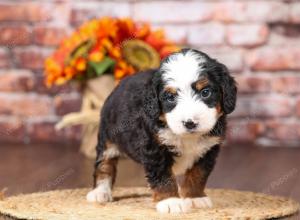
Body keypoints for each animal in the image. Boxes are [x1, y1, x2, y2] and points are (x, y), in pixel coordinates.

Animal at [86, 48, 237, 213]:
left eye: (205, 92)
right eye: (170, 97)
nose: (190, 123)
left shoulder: (208, 148)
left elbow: (198, 174)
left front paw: (195, 197)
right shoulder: (154, 147)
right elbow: (163, 176)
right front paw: (170, 201)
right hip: (108, 137)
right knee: (104, 164)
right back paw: (100, 192)